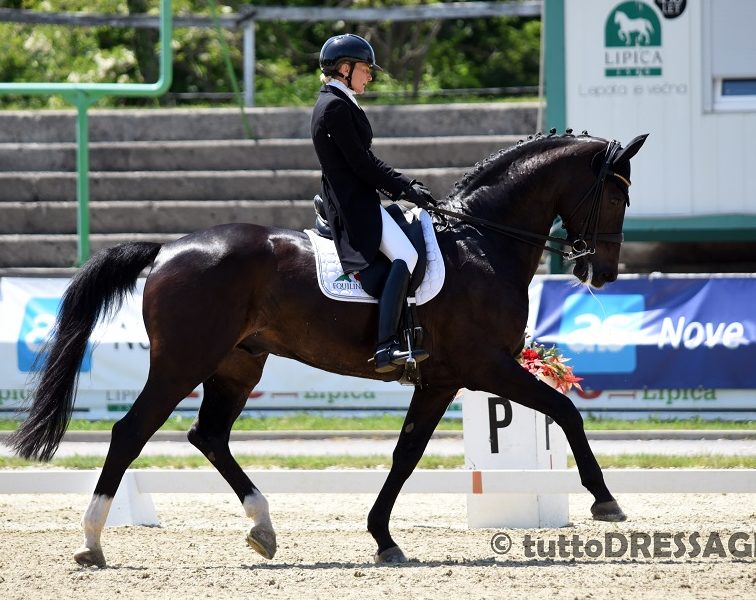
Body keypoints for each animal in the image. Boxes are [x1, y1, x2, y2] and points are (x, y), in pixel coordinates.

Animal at [7, 130, 648, 567]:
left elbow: (405, 455)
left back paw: (263, 528)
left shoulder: (441, 379)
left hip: (238, 364)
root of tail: (167, 250)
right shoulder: (486, 366)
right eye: (617, 198)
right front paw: (606, 502)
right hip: (183, 363)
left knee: (208, 435)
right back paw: (92, 542)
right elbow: (566, 411)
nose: (602, 274)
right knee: (130, 433)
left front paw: (384, 538)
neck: (482, 242)